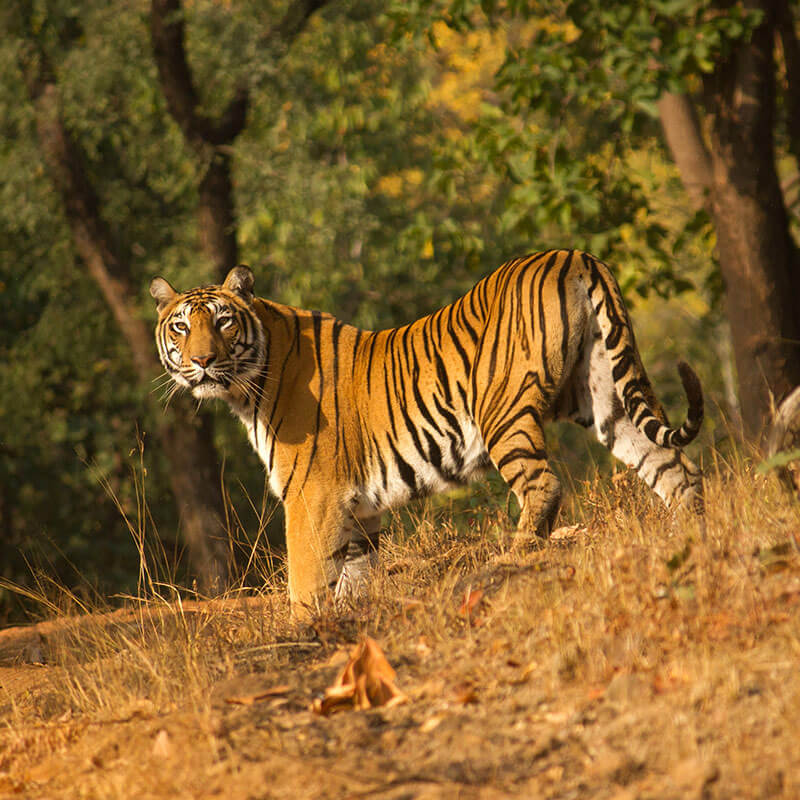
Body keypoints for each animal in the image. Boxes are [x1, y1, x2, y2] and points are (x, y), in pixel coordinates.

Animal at [150, 250, 700, 620]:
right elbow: (355, 577)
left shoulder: (311, 498)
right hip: (607, 396)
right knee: (676, 467)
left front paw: (300, 629)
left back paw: (514, 557)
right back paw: (692, 534)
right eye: (180, 327)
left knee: (544, 485)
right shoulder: (357, 510)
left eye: (223, 321)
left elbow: (305, 580)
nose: (202, 360)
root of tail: (571, 254)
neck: (248, 388)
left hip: (502, 411)